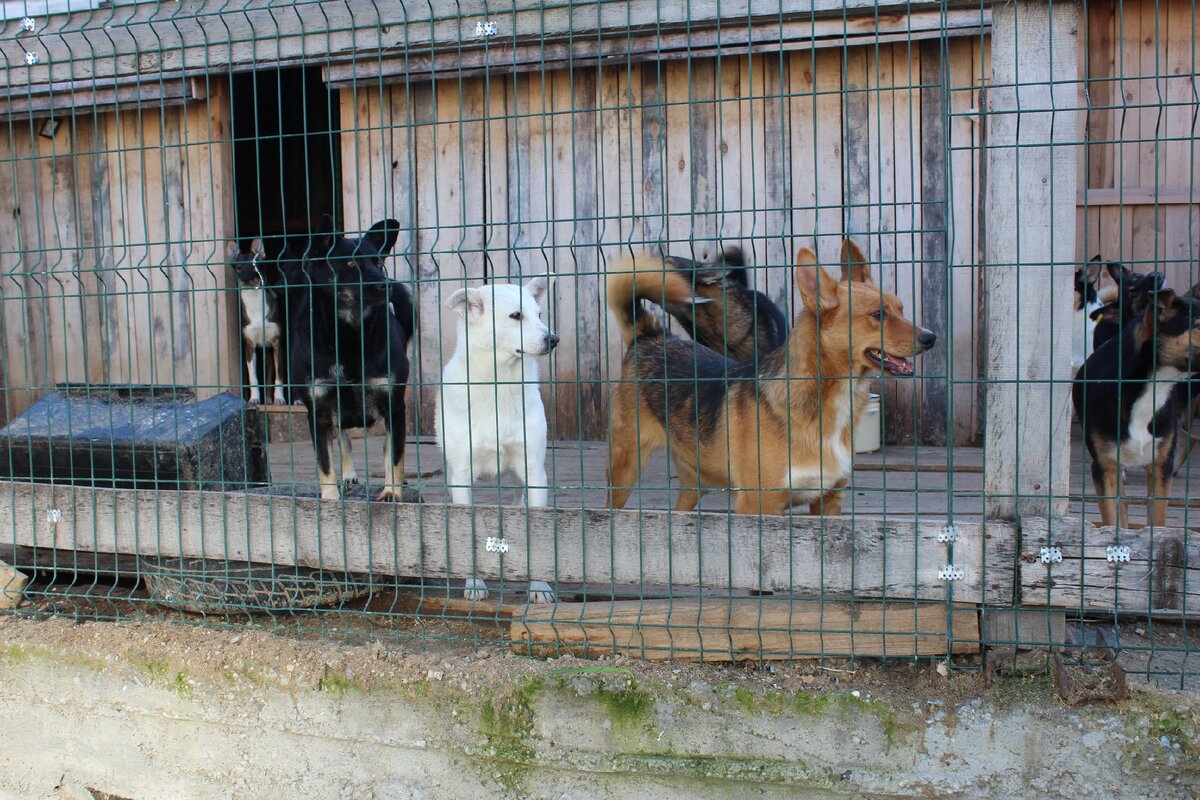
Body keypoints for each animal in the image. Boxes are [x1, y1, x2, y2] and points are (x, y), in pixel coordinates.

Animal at [290, 212, 417, 501]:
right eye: (350, 263)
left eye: (378, 262)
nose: (385, 285)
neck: (349, 335)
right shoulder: (318, 410)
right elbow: (325, 461)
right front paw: (329, 497)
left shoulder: (394, 404)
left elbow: (395, 455)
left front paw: (391, 491)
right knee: (344, 439)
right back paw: (348, 476)